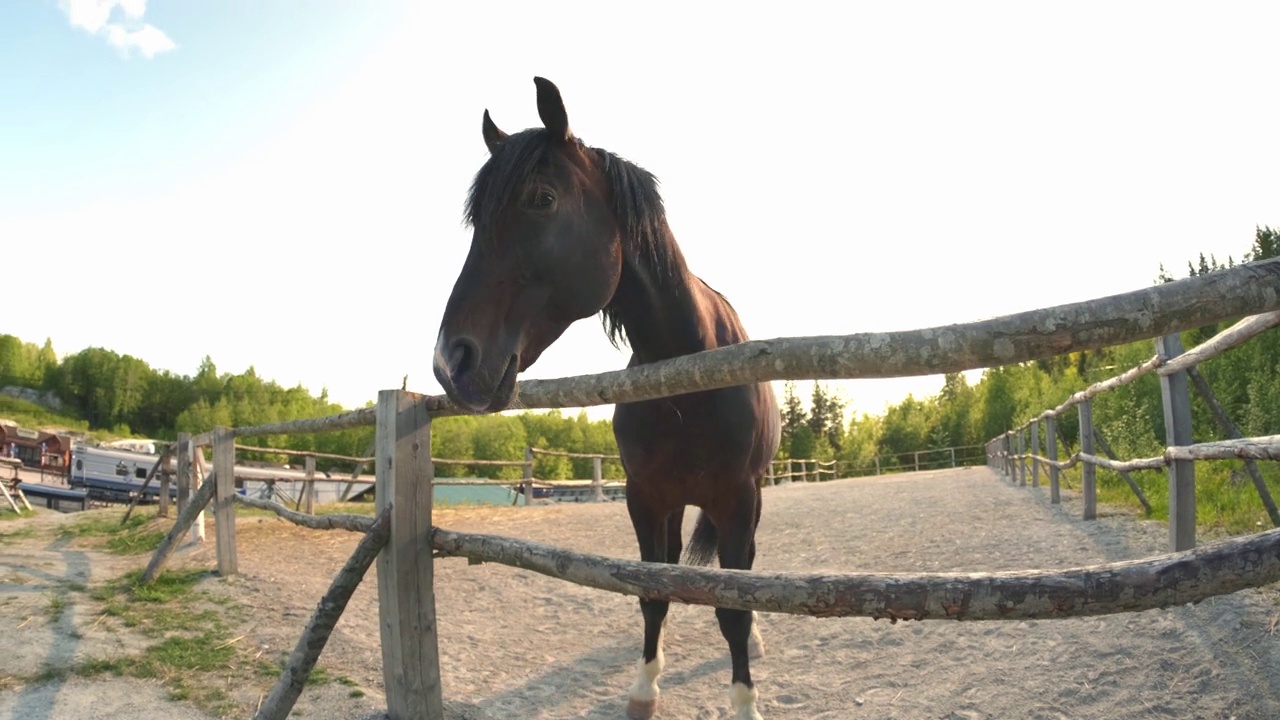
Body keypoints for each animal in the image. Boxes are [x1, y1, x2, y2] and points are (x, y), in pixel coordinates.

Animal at [435, 78, 778, 717]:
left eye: (542, 199)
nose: (451, 362)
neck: (687, 379)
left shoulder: (737, 500)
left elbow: (734, 606)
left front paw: (745, 699)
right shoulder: (643, 499)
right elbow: (652, 592)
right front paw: (644, 687)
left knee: (746, 570)